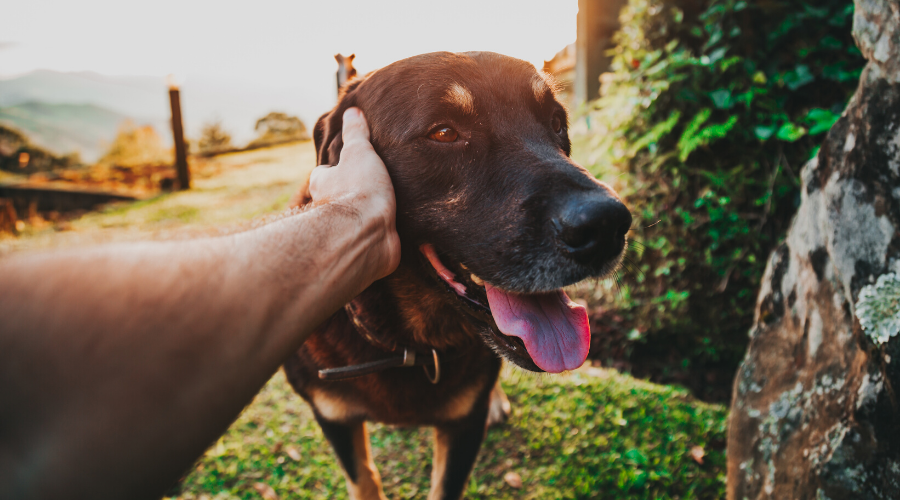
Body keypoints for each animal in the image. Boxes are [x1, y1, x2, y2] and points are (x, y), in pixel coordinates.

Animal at [284, 50, 628, 500]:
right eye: (445, 132)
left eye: (556, 122)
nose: (609, 226)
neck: (409, 344)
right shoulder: (334, 417)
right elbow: (364, 479)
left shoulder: (464, 425)